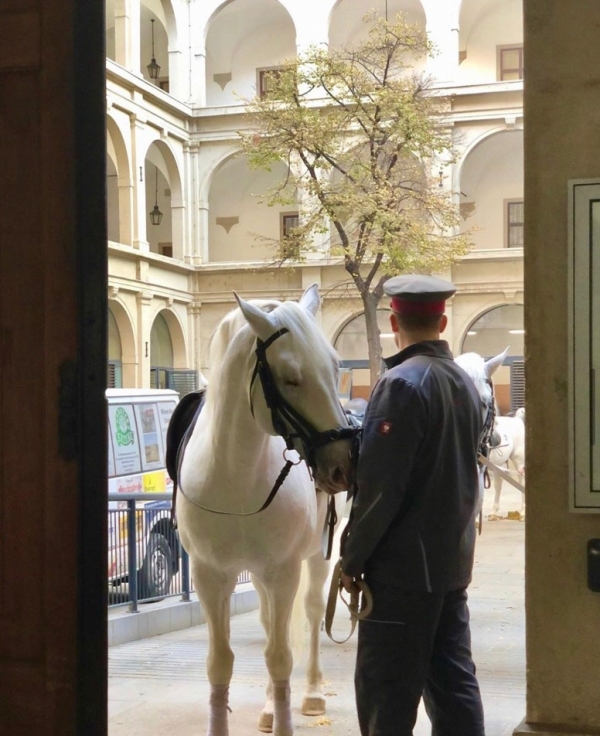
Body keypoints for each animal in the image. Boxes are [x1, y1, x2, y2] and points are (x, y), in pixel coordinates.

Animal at [178, 284, 356, 736]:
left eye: (336, 367)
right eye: (291, 378)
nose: (343, 464)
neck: (237, 482)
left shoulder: (283, 571)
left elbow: (280, 658)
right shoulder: (210, 575)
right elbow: (220, 663)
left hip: (314, 558)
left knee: (311, 612)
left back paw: (311, 694)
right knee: (267, 623)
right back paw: (268, 708)